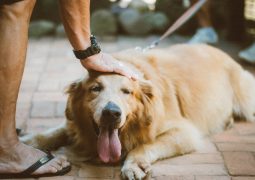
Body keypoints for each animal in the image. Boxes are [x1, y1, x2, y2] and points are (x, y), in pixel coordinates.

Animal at [21, 44, 255, 180]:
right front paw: (28, 142)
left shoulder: (184, 132)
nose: (111, 113)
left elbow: (145, 145)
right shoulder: (75, 125)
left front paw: (133, 164)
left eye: (127, 92)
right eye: (95, 88)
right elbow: (53, 132)